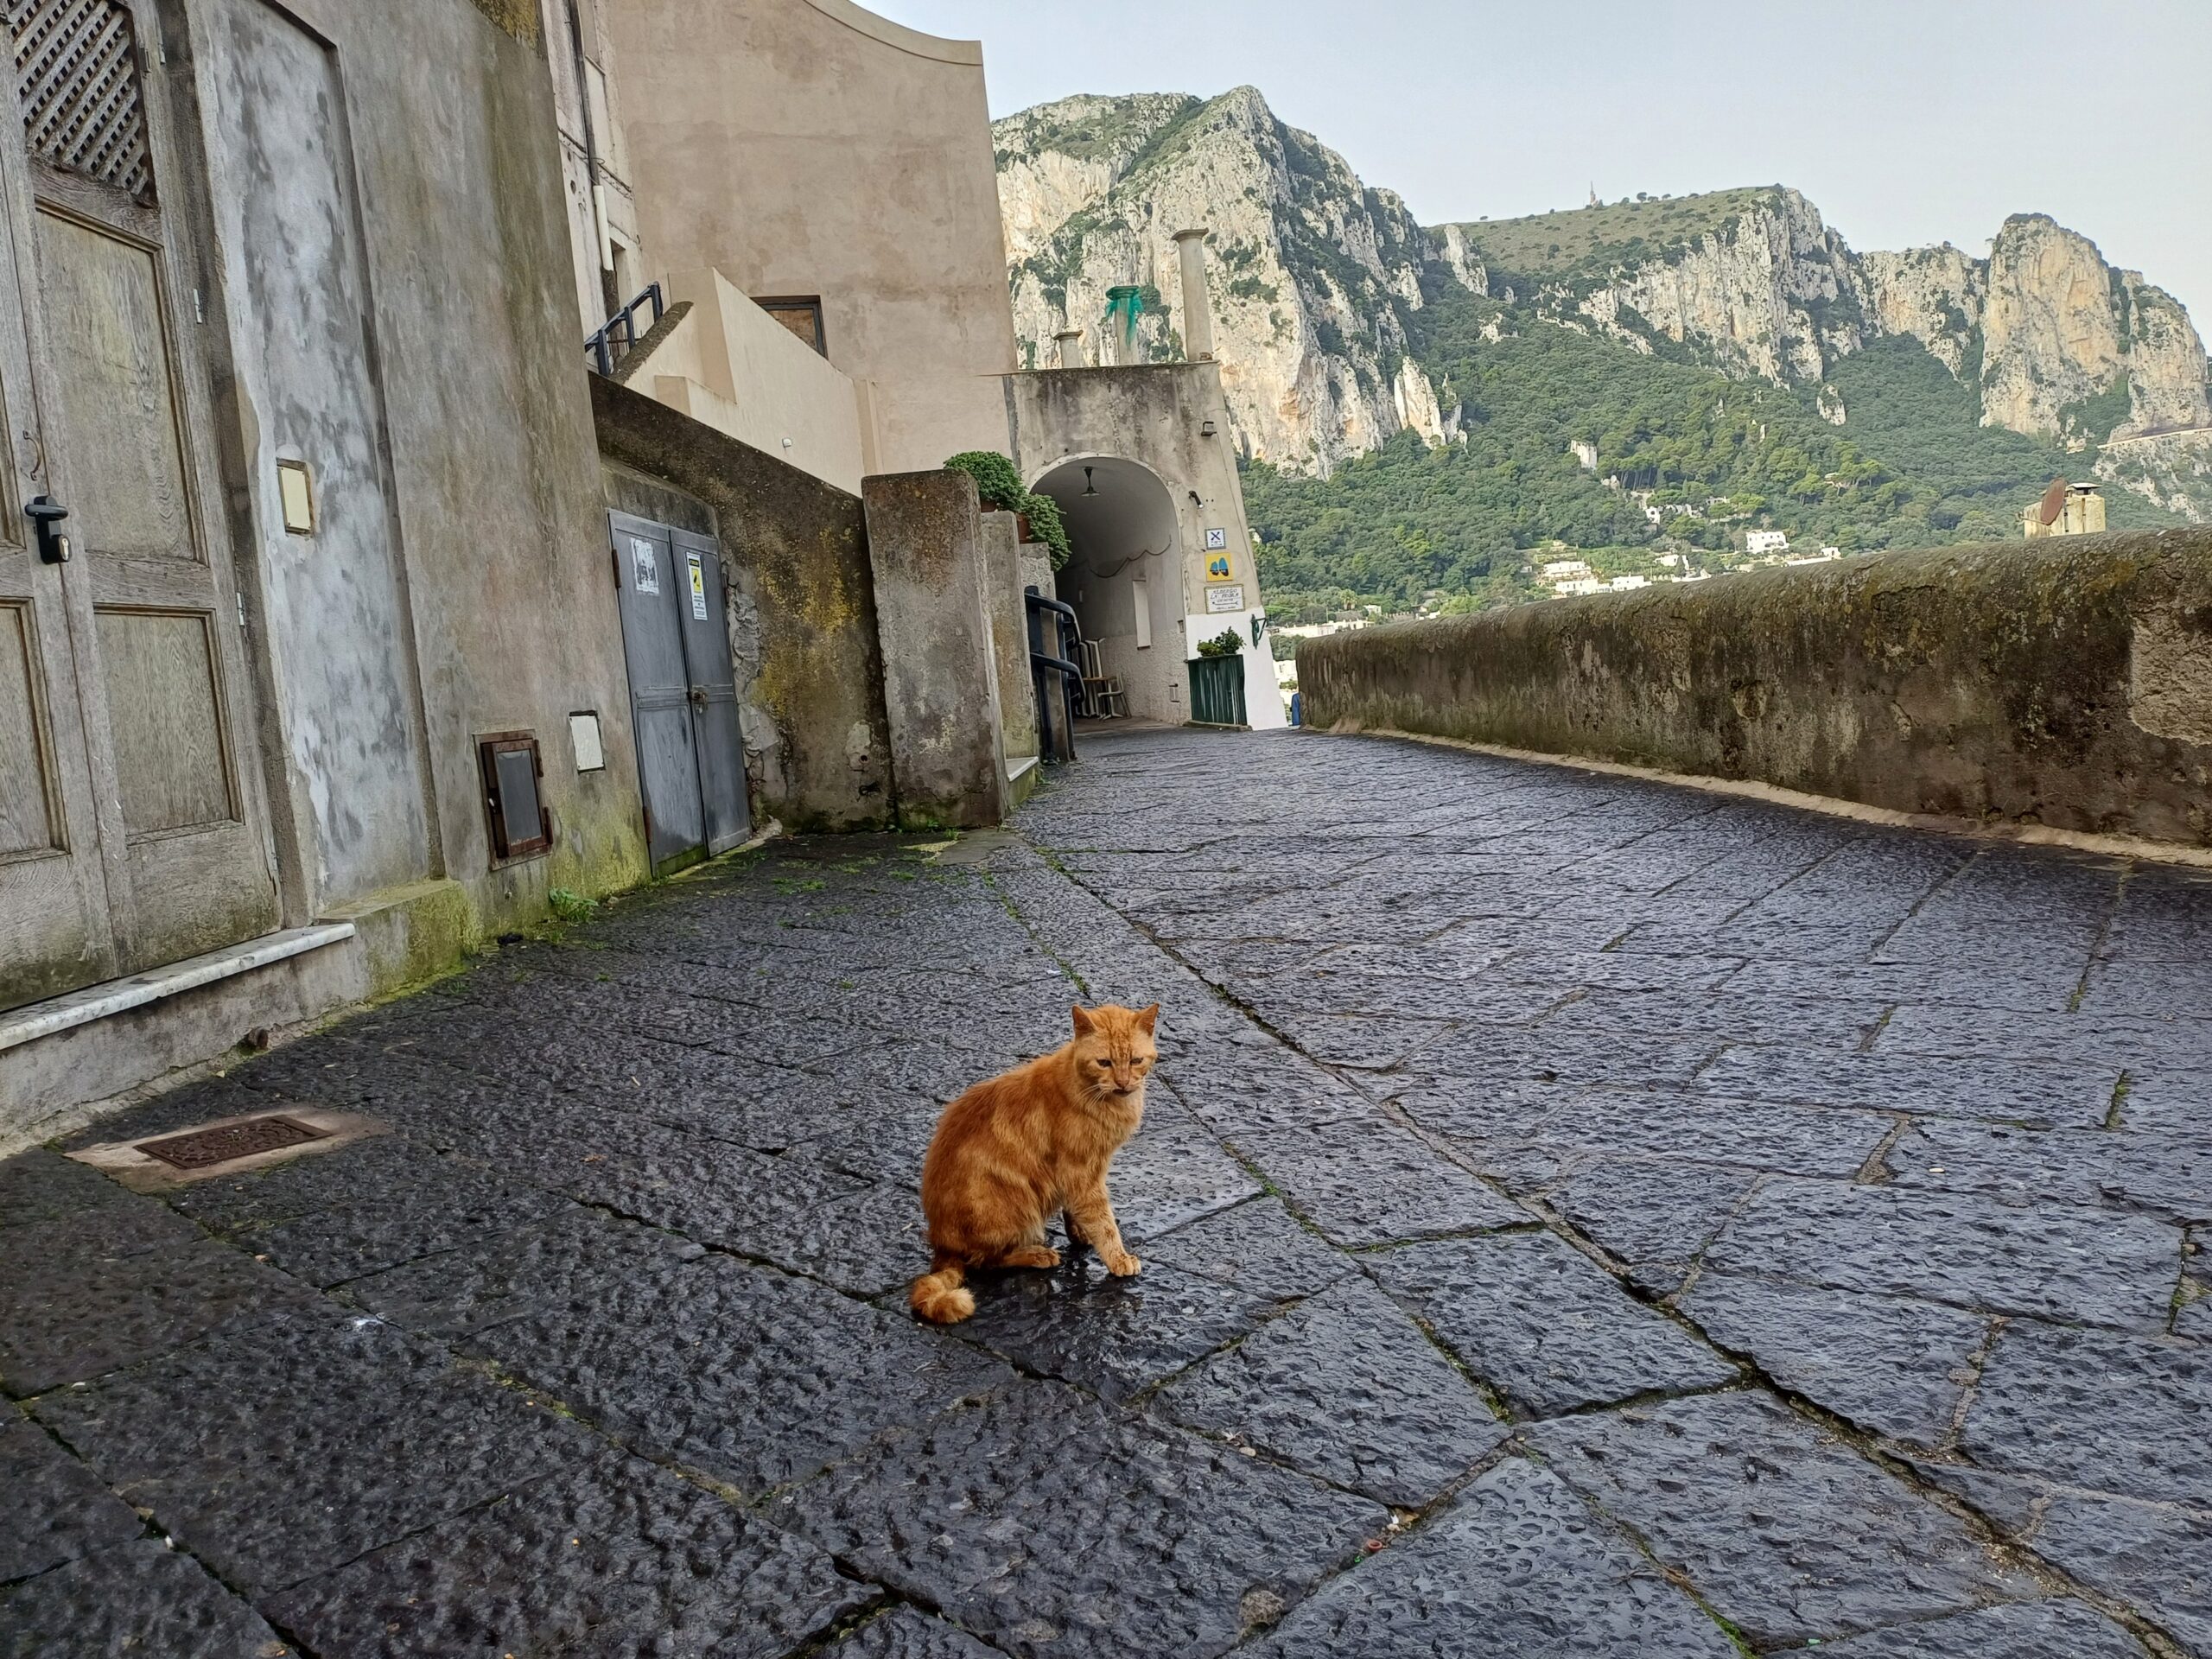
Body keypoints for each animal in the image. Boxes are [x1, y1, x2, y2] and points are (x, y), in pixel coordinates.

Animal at [911, 1000, 1167, 1327]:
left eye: (1135, 1060)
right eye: (1104, 1063)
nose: (1123, 1082)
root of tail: (941, 1244)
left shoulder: (1082, 1174)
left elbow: (1076, 1211)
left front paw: (1079, 1234)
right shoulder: (1081, 1173)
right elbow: (1103, 1222)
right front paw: (1118, 1258)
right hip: (1017, 1206)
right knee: (987, 1261)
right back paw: (1036, 1255)